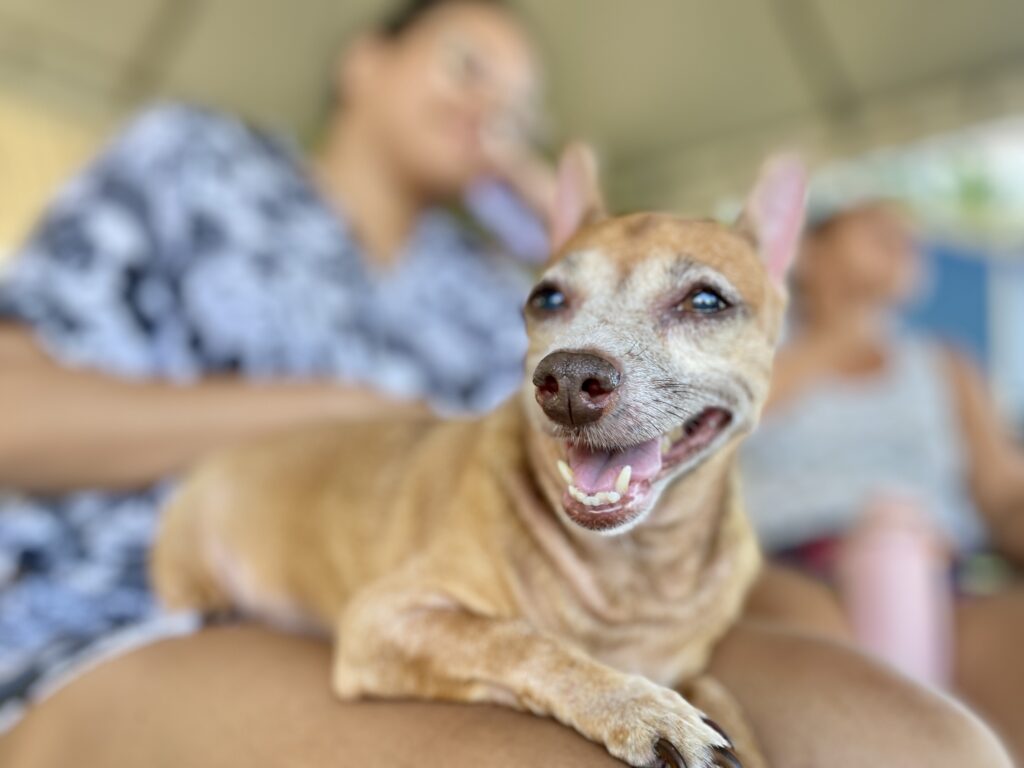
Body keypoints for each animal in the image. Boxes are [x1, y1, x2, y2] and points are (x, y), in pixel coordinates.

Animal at [151, 150, 806, 768]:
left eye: (706, 301)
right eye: (546, 298)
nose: (568, 380)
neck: (635, 567)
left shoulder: (691, 662)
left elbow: (722, 698)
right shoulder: (385, 618)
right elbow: (522, 641)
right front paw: (642, 707)